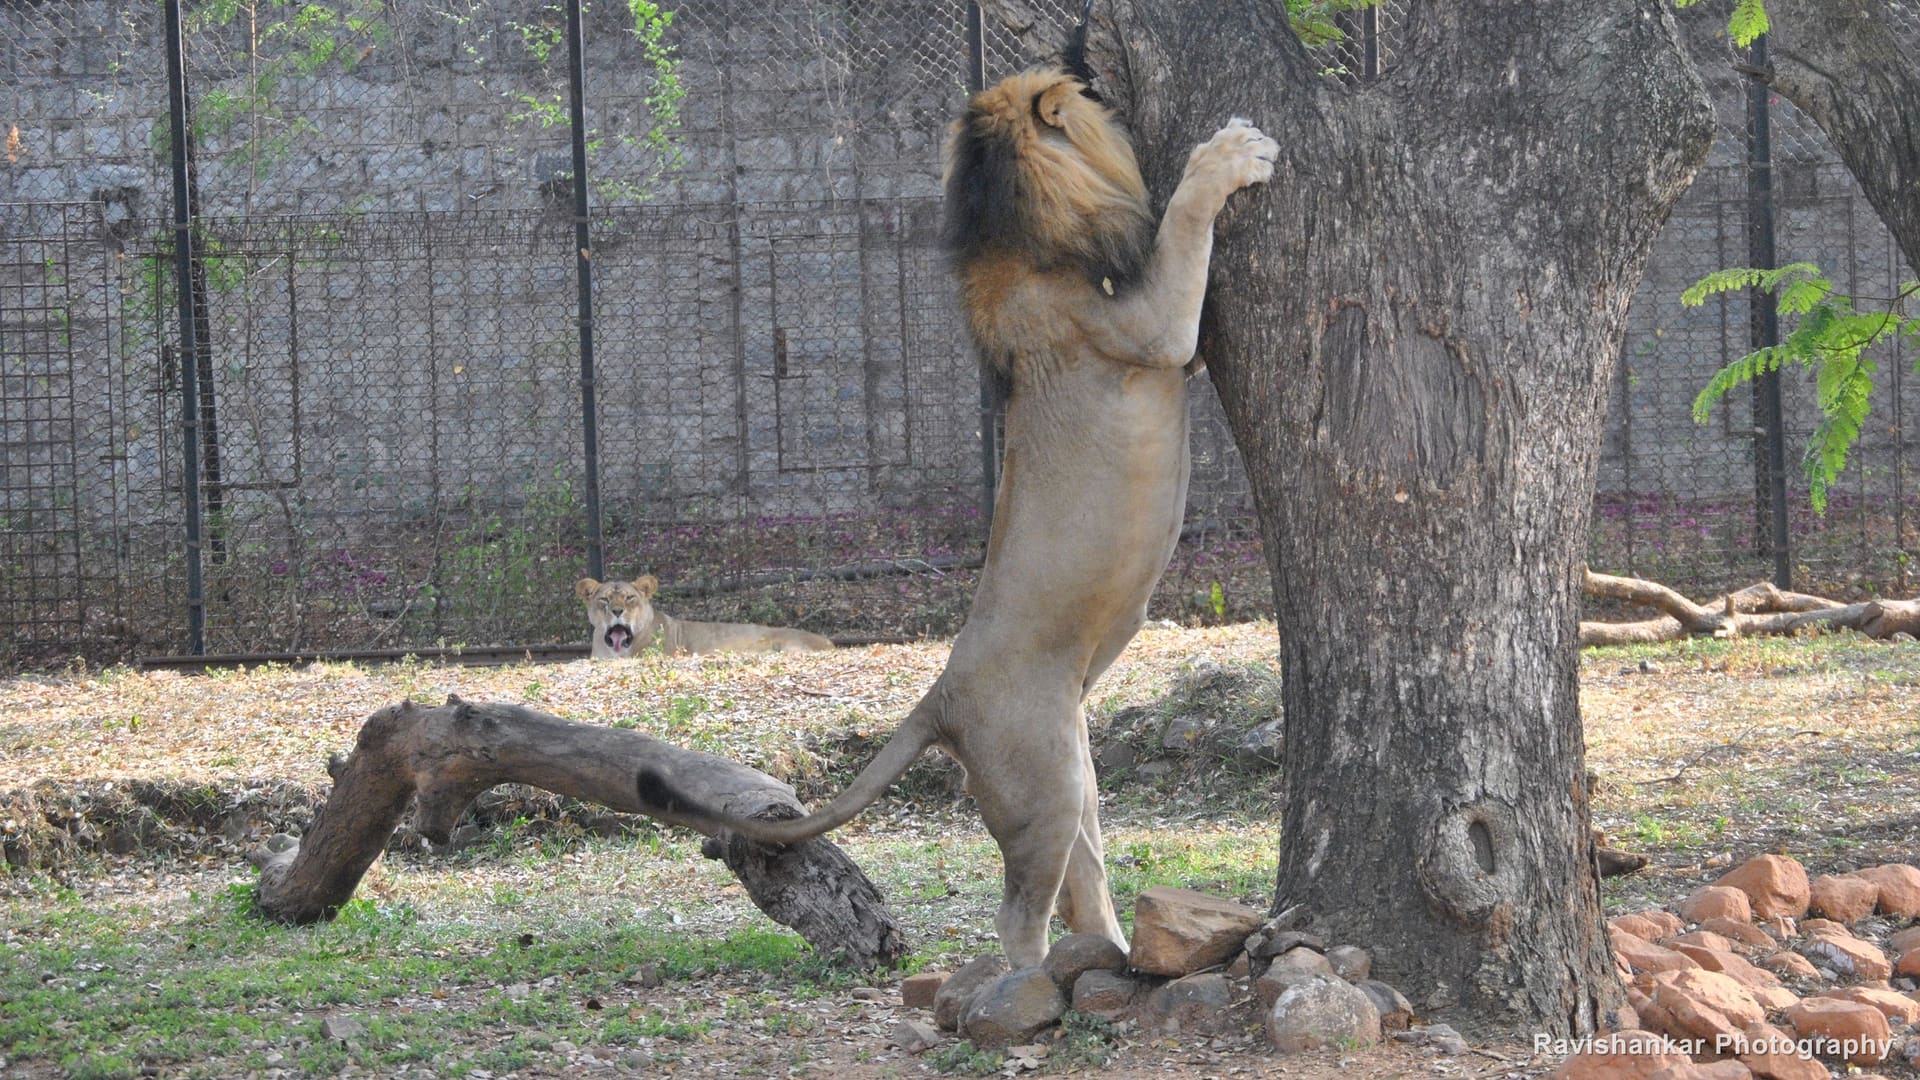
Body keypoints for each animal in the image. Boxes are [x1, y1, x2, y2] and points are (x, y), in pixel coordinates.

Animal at [637, 69, 1276, 968]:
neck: (1018, 235)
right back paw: (1035, 989)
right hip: (1044, 781)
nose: (1112, 92)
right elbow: (1185, 221)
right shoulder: (1152, 329)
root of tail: (939, 694)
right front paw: (1229, 154)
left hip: (1075, 774)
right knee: (1019, 915)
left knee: (1082, 886)